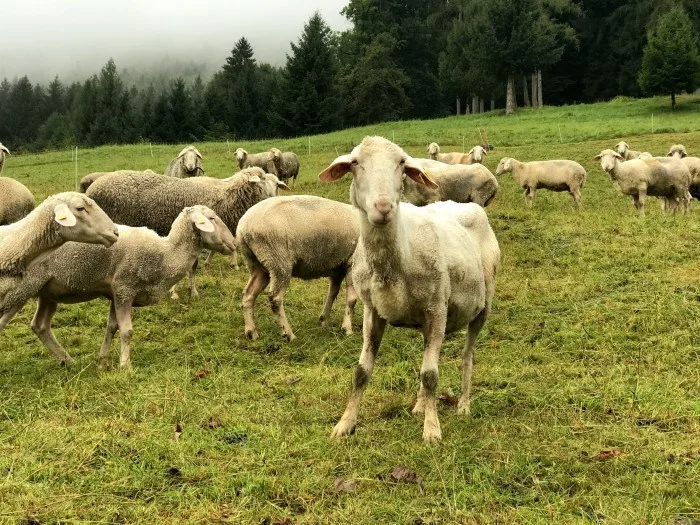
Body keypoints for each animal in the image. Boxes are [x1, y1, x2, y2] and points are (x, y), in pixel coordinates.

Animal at [0, 205, 235, 364]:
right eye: (212, 218)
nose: (233, 243)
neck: (166, 253)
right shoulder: (125, 288)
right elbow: (126, 331)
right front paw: (125, 366)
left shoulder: (115, 294)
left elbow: (111, 328)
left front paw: (102, 361)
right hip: (19, 290)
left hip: (48, 291)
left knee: (40, 326)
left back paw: (67, 360)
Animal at [239, 194, 360, 342]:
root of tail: (243, 227)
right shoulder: (352, 262)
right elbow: (352, 299)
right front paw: (347, 329)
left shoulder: (337, 267)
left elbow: (332, 293)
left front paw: (324, 321)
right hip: (278, 261)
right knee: (275, 299)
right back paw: (288, 335)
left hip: (258, 264)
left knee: (249, 294)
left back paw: (252, 332)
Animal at [318, 136, 498, 442]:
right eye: (354, 163)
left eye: (402, 163)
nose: (383, 207)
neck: (398, 255)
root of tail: (469, 207)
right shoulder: (373, 311)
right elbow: (361, 372)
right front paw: (345, 424)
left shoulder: (436, 309)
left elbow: (431, 375)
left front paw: (432, 430)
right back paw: (420, 405)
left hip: (481, 307)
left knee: (467, 356)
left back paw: (463, 405)